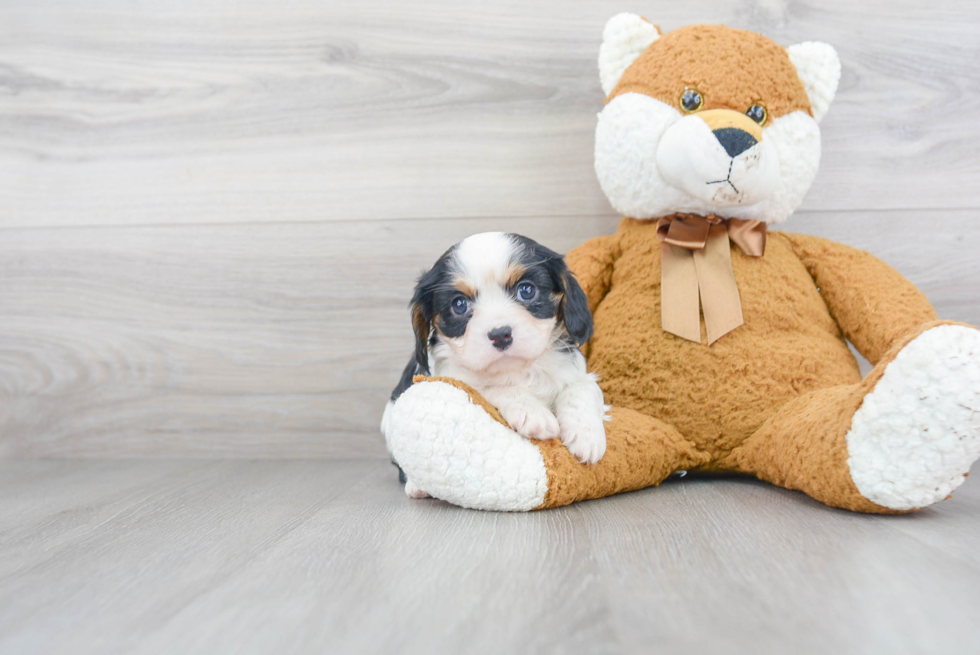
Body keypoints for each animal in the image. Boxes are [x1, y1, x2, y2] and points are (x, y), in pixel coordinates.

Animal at [380, 233, 604, 500]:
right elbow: (491, 386)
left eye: (526, 290)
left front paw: (587, 435)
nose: (500, 334)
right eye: (459, 304)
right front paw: (534, 414)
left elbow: (580, 389)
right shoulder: (454, 376)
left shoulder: (577, 371)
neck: (519, 368)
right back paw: (418, 485)